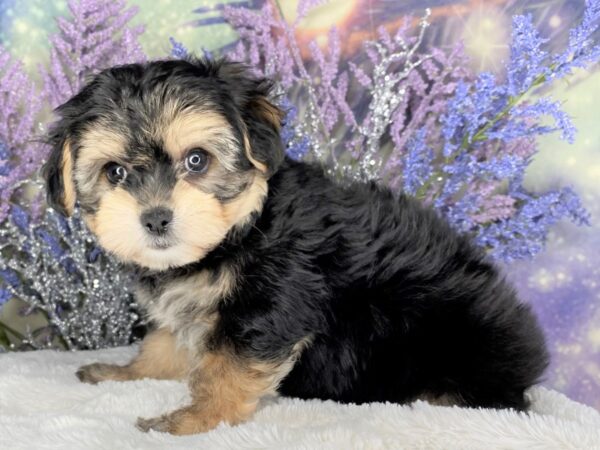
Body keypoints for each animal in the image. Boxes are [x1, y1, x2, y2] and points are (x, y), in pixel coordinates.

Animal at [42, 57, 548, 436]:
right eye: (115, 173)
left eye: (197, 160)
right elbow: (166, 340)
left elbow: (226, 366)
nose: (155, 217)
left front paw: (195, 419)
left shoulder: (272, 302)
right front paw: (130, 371)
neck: (241, 231)